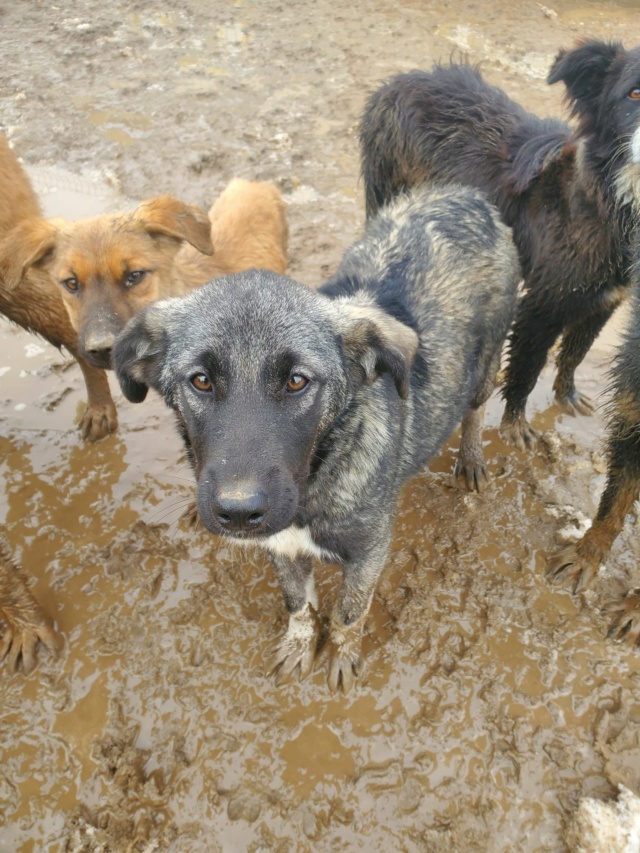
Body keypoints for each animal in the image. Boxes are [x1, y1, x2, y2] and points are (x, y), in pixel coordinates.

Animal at [111, 186, 520, 692]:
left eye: (297, 381)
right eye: (201, 381)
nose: (239, 513)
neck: (317, 478)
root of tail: (464, 195)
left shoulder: (369, 552)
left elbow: (349, 613)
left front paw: (342, 655)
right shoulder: (280, 546)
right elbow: (299, 604)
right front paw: (299, 645)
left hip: (486, 359)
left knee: (476, 407)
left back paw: (471, 458)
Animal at [360, 38, 640, 452]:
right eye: (634, 93)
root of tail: (396, 83)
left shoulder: (605, 298)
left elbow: (576, 351)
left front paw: (567, 395)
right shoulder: (543, 305)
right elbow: (527, 367)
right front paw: (515, 425)